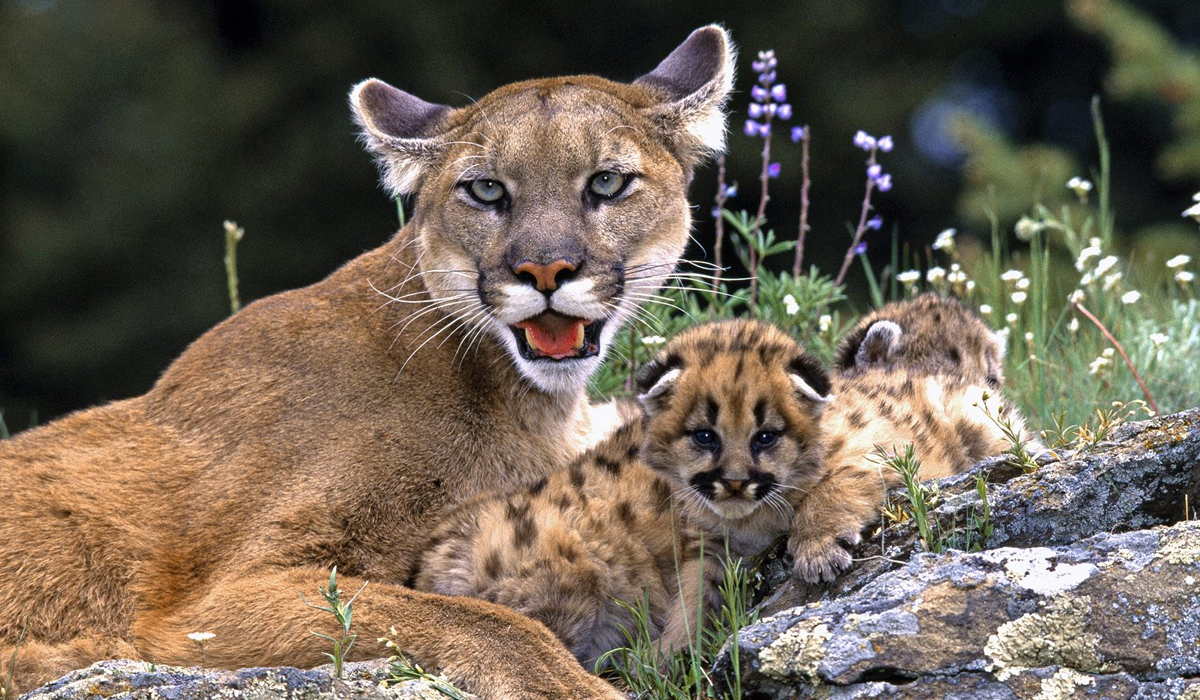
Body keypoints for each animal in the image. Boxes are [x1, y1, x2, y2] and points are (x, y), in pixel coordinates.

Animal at [0, 24, 734, 696]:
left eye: (607, 183)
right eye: (486, 191)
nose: (545, 269)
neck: (520, 399)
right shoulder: (218, 600)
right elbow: (482, 621)